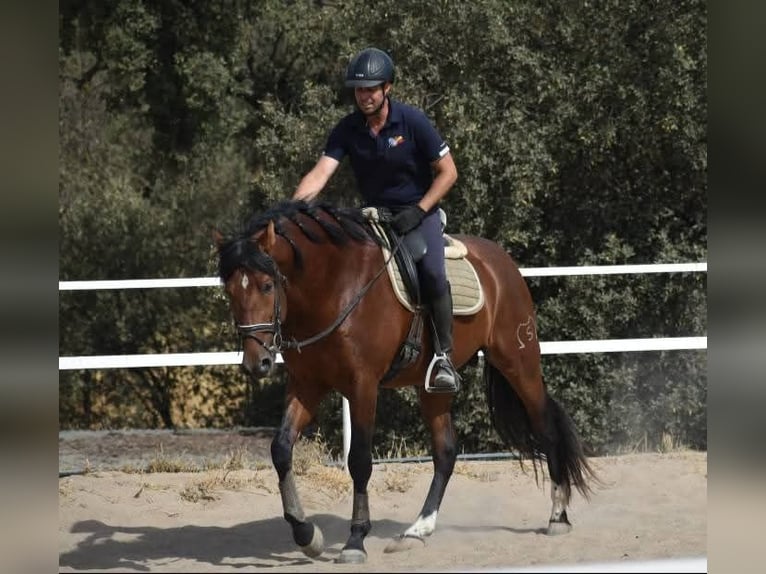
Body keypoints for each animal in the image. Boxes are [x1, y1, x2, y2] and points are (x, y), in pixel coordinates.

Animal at [213, 199, 596, 564]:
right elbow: (280, 449)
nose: (258, 363)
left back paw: (557, 517)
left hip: (518, 361)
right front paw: (307, 535)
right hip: (434, 389)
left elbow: (359, 461)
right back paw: (417, 530)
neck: (334, 286)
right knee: (446, 452)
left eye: (267, 285)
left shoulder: (362, 386)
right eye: (229, 291)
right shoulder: (307, 384)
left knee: (545, 429)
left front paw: (355, 541)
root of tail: (501, 261)